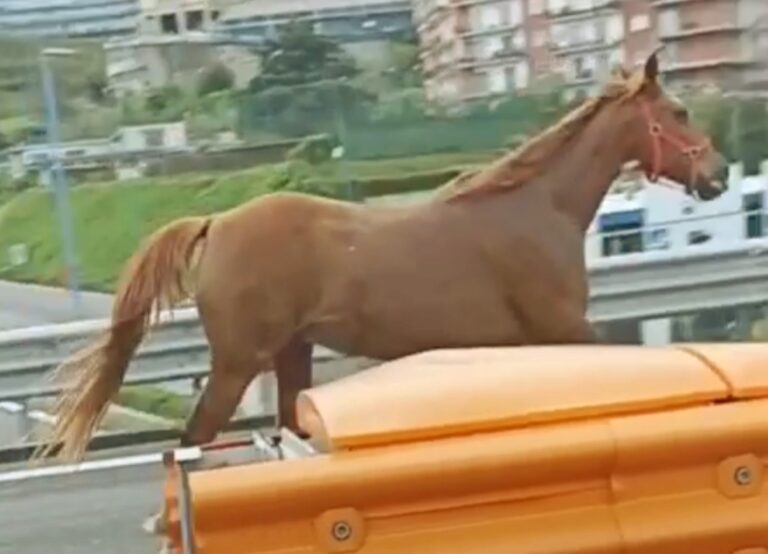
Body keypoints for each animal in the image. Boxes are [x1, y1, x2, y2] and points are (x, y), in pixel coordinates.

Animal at [31, 51, 728, 466]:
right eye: (678, 110)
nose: (718, 174)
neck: (534, 208)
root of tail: (218, 221)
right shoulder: (564, 329)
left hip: (292, 353)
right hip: (236, 363)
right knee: (193, 446)